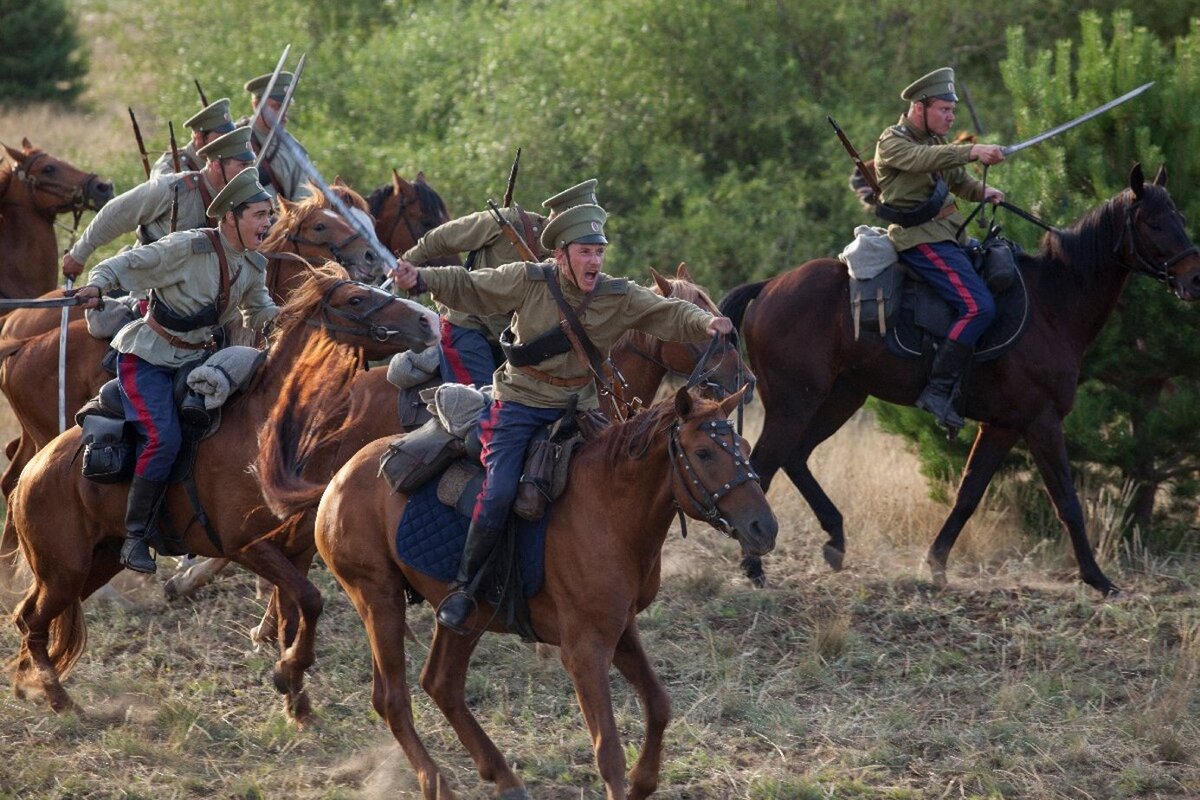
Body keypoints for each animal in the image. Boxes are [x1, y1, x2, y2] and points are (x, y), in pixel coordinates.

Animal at [7, 263, 439, 719]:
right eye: (355, 299)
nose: (428, 320)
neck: (267, 433)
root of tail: (31, 475)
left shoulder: (297, 552)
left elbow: (296, 613)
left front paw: (295, 694)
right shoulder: (244, 545)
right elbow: (309, 600)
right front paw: (289, 677)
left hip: (96, 563)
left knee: (29, 618)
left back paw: (29, 685)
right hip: (64, 571)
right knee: (32, 620)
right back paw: (58, 698)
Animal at [266, 383, 772, 796]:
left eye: (745, 446)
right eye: (704, 453)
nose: (763, 528)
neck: (608, 505)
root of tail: (339, 478)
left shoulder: (619, 629)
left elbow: (659, 704)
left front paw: (644, 782)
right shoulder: (584, 649)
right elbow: (608, 748)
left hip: (463, 614)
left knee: (441, 683)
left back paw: (503, 777)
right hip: (378, 598)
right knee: (393, 699)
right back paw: (437, 783)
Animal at [720, 165, 1200, 597]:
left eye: (1179, 216)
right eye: (1155, 222)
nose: (1194, 279)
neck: (1053, 303)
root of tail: (769, 287)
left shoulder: (1002, 427)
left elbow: (968, 495)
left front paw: (935, 564)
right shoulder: (1042, 423)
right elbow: (1067, 501)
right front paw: (1098, 579)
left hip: (841, 397)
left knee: (795, 457)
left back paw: (834, 539)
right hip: (794, 403)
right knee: (763, 465)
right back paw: (754, 564)